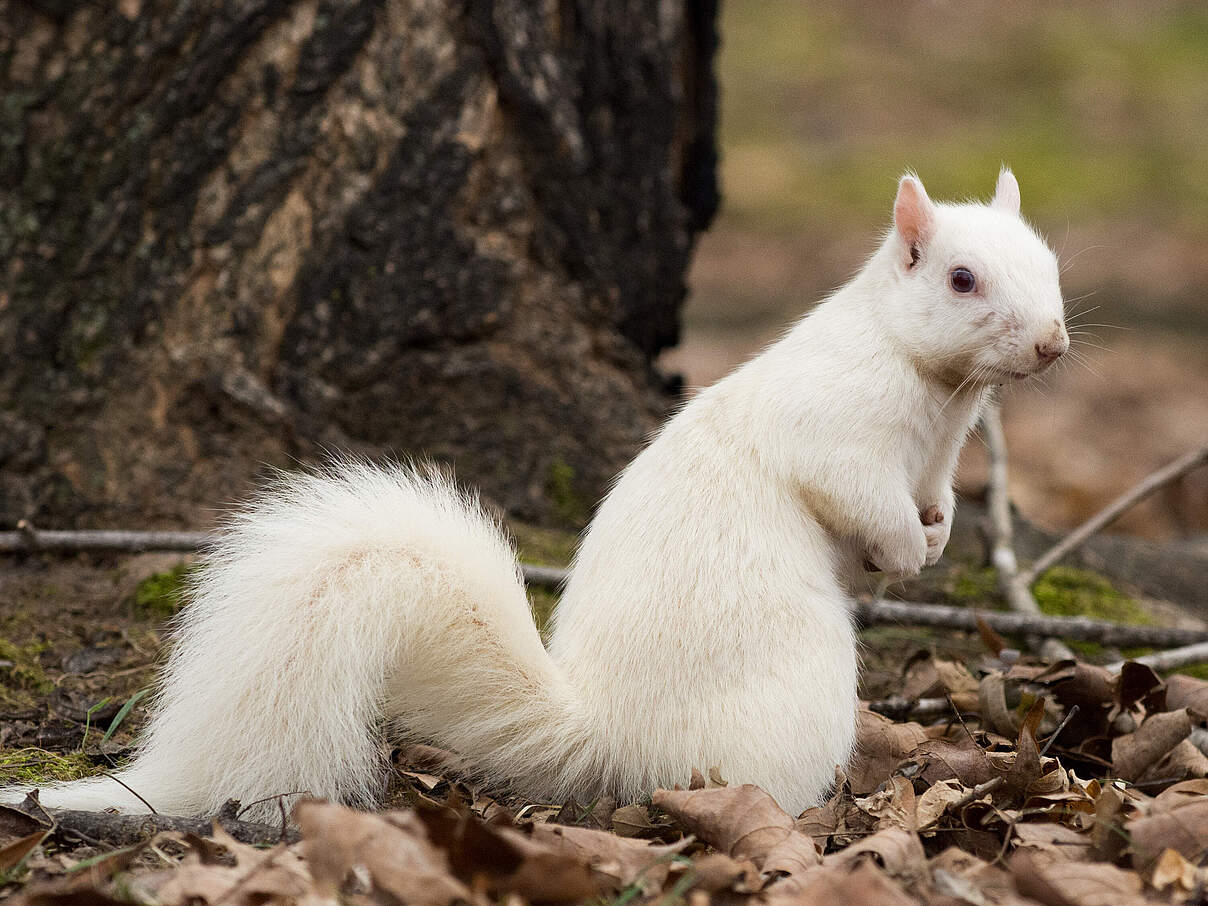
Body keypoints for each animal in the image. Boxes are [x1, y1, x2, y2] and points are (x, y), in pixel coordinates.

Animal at [9, 170, 1067, 821]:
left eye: (1051, 262)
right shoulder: (835, 430)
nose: (1054, 344)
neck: (938, 394)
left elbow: (934, 500)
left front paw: (936, 538)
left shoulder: (935, 457)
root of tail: (609, 741)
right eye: (962, 279)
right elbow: (857, 496)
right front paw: (903, 551)